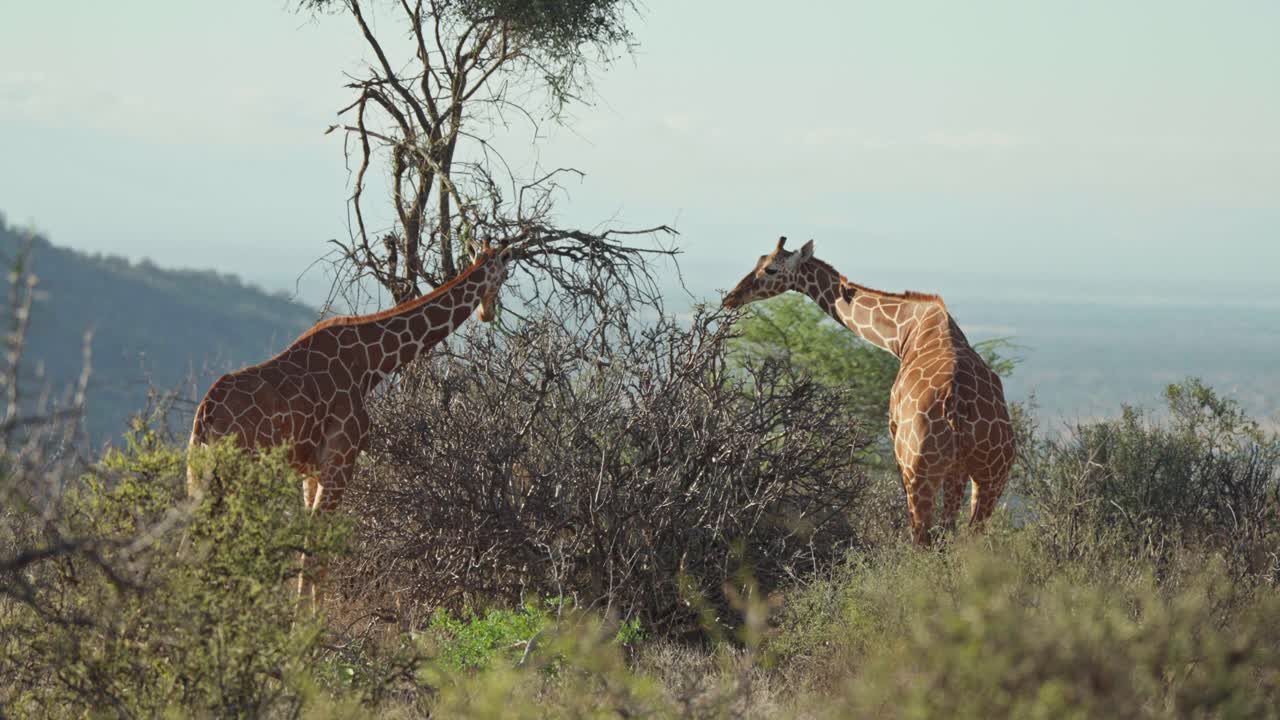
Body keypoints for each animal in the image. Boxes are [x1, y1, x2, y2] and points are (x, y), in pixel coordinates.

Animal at [187, 242, 512, 594]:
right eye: (506, 274)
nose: (487, 314)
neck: (370, 362)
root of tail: (206, 413)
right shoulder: (341, 460)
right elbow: (317, 546)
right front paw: (307, 612)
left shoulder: (311, 471)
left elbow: (309, 544)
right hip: (239, 476)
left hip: (199, 474)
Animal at [722, 237, 1014, 546]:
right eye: (759, 261)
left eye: (771, 269)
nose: (731, 298)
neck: (904, 333)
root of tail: (955, 409)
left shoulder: (896, 443)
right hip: (991, 475)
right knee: (968, 536)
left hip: (919, 472)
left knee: (923, 538)